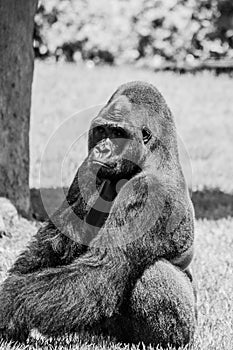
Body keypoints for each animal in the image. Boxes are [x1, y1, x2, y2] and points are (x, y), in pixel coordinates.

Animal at [0, 81, 197, 348]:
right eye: (101, 131)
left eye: (117, 133)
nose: (102, 149)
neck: (153, 155)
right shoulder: (86, 167)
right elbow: (57, 241)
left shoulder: (147, 194)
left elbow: (101, 269)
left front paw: (6, 305)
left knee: (155, 272)